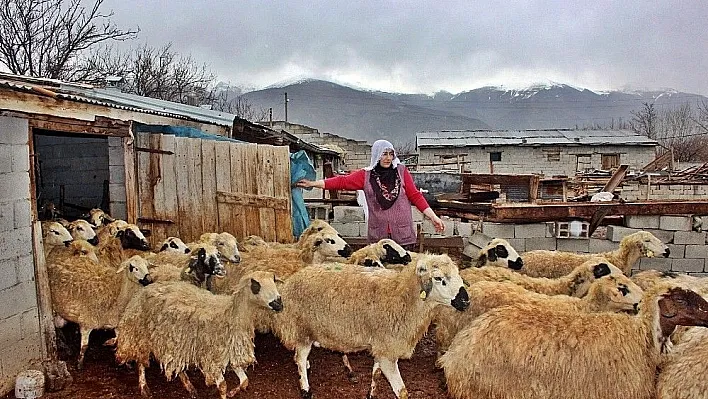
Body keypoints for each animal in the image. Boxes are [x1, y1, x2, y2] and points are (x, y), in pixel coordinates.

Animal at [115, 272, 284, 399]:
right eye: (256, 285)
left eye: (274, 280)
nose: (279, 304)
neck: (230, 314)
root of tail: (142, 291)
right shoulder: (212, 358)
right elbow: (223, 386)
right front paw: (226, 393)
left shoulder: (230, 353)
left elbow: (244, 382)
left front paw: (232, 392)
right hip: (140, 336)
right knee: (141, 362)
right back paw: (144, 387)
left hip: (175, 342)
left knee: (177, 365)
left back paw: (189, 387)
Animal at [276, 255, 470, 398]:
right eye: (438, 278)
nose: (466, 301)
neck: (401, 296)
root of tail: (292, 280)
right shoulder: (387, 352)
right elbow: (402, 392)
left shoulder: (381, 347)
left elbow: (375, 374)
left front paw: (371, 393)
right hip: (302, 329)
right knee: (300, 359)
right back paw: (305, 389)